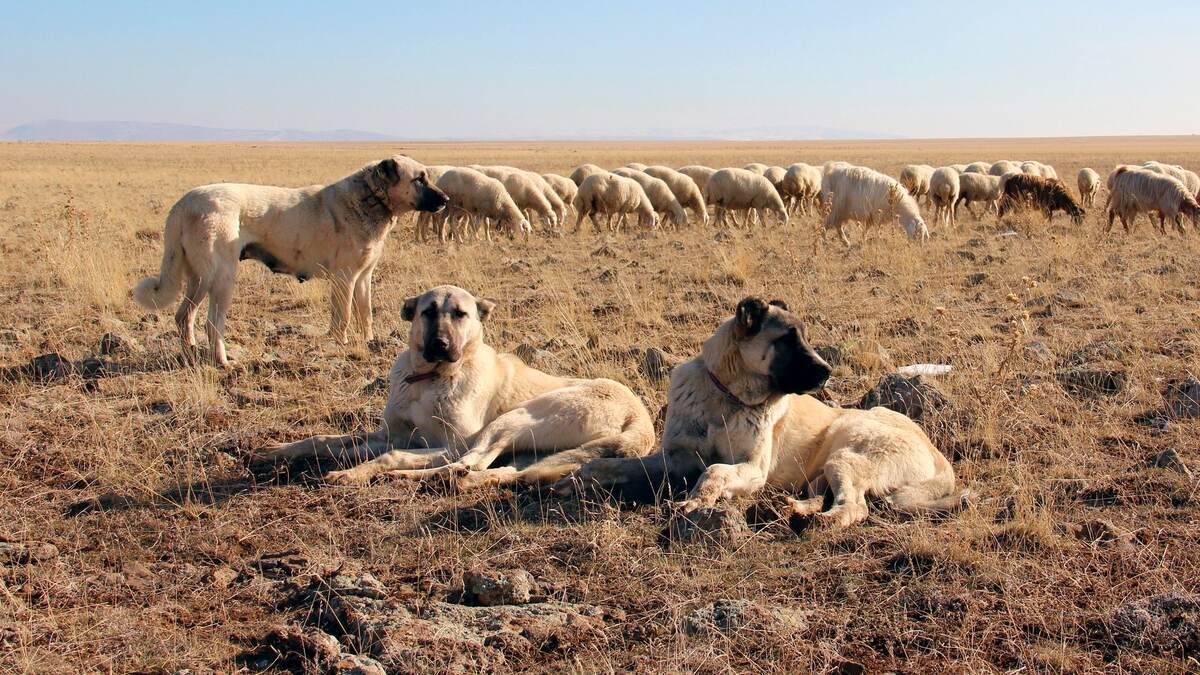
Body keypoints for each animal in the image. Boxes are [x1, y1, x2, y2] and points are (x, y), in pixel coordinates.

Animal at [246, 283, 657, 487]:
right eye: (428, 312)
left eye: (460, 314)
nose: (441, 344)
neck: (427, 379)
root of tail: (641, 421)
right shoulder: (391, 434)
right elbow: (324, 440)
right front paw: (273, 452)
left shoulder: (447, 442)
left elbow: (390, 454)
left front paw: (353, 473)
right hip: (536, 447)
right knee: (495, 470)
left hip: (518, 418)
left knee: (469, 462)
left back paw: (408, 477)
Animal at [559, 295, 964, 526]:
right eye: (788, 339)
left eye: (805, 337)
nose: (828, 371)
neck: (724, 398)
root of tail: (939, 458)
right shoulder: (675, 458)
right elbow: (611, 464)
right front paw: (576, 478)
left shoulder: (751, 467)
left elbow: (716, 471)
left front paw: (698, 500)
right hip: (826, 468)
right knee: (826, 494)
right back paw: (796, 509)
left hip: (848, 448)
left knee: (854, 507)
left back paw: (816, 522)